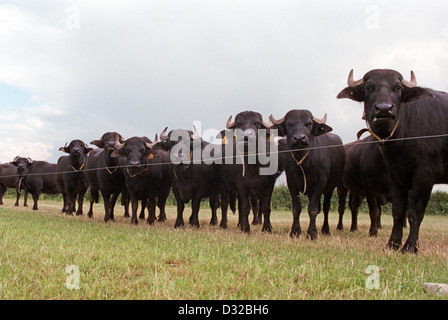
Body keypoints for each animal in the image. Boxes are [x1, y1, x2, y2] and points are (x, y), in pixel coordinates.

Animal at [268, 109, 344, 239]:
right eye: (289, 124)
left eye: (309, 123)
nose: (299, 138)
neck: (304, 164)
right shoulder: (291, 184)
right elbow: (296, 209)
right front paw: (295, 231)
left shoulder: (320, 184)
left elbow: (313, 209)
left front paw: (312, 233)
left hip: (330, 188)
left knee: (326, 208)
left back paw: (325, 229)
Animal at [338, 68, 446, 252]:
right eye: (368, 87)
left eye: (398, 88)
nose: (384, 109)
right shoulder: (385, 180)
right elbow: (390, 212)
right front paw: (390, 242)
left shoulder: (423, 175)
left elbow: (412, 212)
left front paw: (407, 246)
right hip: (342, 187)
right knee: (345, 207)